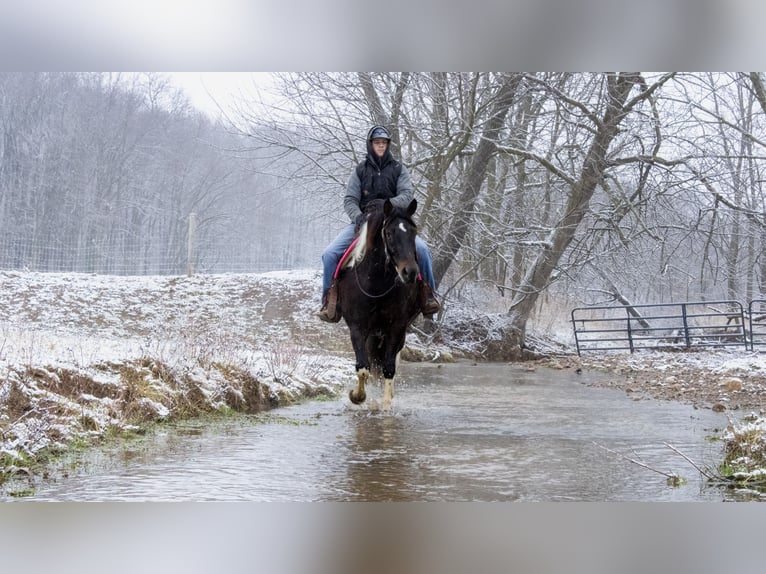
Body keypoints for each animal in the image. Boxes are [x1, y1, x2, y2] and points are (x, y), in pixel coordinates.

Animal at [338, 200, 424, 412]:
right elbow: (363, 367)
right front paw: (357, 396)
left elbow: (389, 368)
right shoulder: (358, 328)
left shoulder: (397, 328)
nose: (410, 272)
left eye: (413, 232)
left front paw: (385, 406)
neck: (377, 284)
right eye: (390, 233)